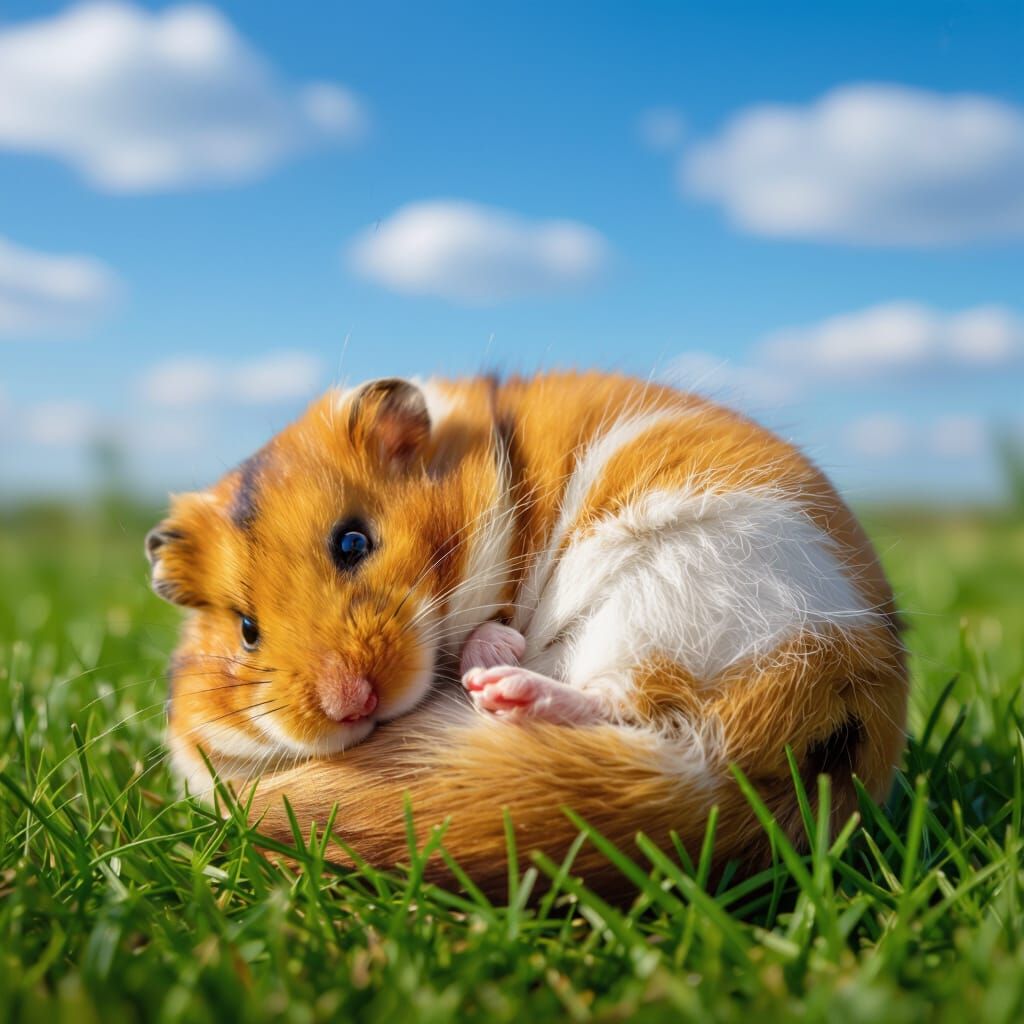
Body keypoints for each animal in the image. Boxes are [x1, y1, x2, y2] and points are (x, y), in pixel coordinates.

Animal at [148, 371, 907, 894]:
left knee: (628, 701)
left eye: (353, 541)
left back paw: (500, 685)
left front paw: (488, 651)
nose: (349, 702)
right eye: (247, 631)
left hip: (685, 589)